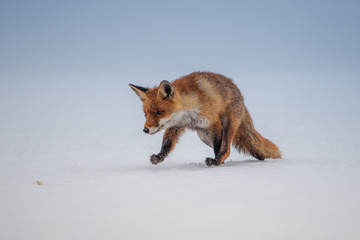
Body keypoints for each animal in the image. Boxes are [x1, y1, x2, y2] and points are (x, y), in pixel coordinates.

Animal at [129, 71, 282, 167]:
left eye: (159, 112)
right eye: (145, 114)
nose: (145, 130)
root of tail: (240, 94)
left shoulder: (214, 122)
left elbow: (219, 147)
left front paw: (215, 161)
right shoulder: (176, 126)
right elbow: (167, 144)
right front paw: (159, 157)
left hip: (228, 125)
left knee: (227, 148)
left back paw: (219, 160)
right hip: (204, 136)